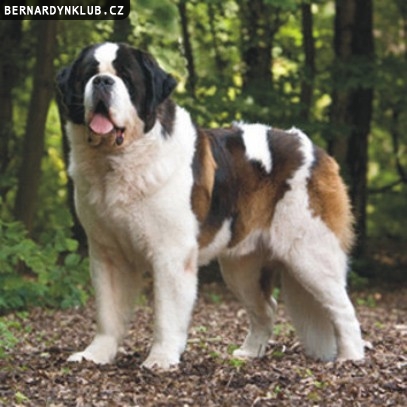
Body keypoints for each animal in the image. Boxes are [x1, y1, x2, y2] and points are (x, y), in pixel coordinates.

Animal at [56, 42, 364, 369]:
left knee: (343, 307)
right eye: (88, 74)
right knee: (266, 307)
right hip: (242, 267)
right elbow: (107, 312)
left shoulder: (171, 255)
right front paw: (95, 355)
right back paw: (249, 353)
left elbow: (166, 314)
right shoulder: (107, 255)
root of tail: (318, 152)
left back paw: (351, 358)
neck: (116, 160)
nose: (102, 81)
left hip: (309, 252)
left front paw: (161, 359)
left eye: (126, 78)